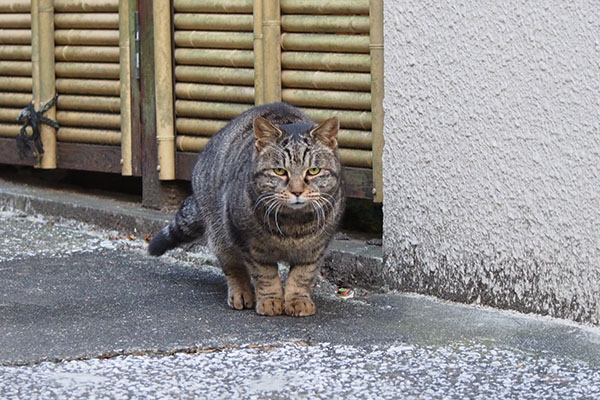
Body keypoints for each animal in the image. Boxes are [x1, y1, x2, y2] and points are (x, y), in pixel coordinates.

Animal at [148, 101, 344, 318]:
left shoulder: (315, 249)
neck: (293, 224)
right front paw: (270, 300)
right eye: (279, 171)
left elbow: (302, 275)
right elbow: (265, 275)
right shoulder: (251, 245)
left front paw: (297, 300)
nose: (297, 191)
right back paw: (241, 294)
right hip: (220, 233)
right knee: (232, 267)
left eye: (313, 171)